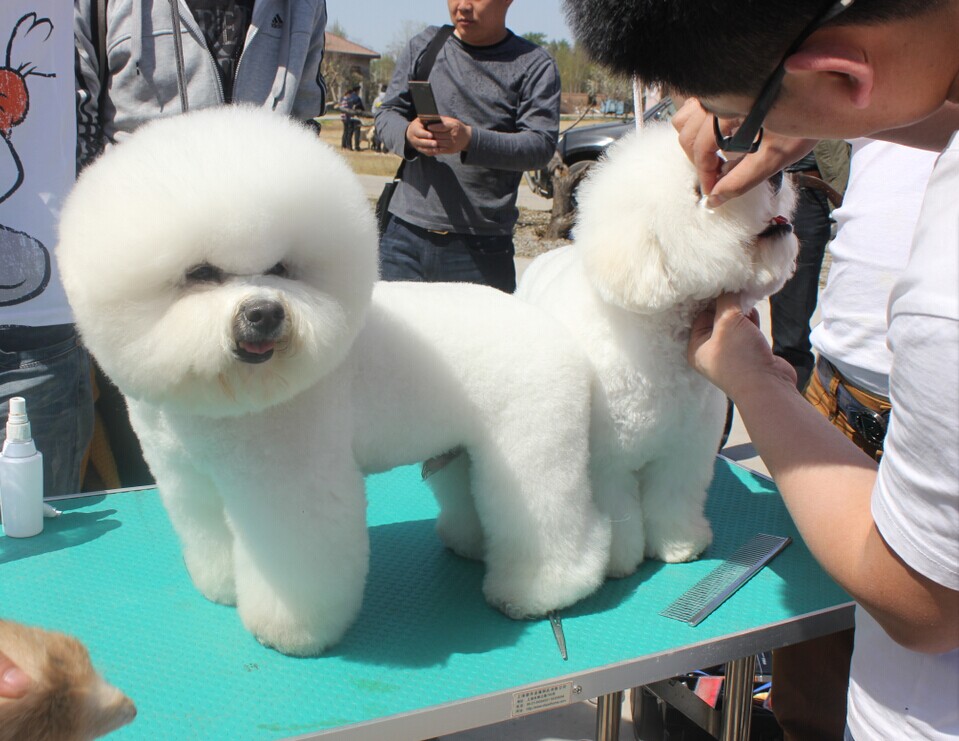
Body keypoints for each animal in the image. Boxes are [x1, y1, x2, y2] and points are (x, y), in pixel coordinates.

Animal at [58, 105, 608, 652]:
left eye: (282, 268)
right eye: (201, 273)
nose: (265, 314)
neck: (229, 396)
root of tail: (549, 326)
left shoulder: (289, 481)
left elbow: (299, 559)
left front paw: (291, 632)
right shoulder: (188, 477)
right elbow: (208, 533)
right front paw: (223, 588)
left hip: (533, 448)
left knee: (553, 523)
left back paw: (541, 592)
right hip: (465, 449)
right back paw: (470, 544)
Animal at [512, 125, 800, 580]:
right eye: (702, 190)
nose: (777, 174)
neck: (660, 345)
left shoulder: (683, 453)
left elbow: (672, 499)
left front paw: (679, 545)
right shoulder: (606, 466)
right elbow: (616, 512)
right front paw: (618, 561)